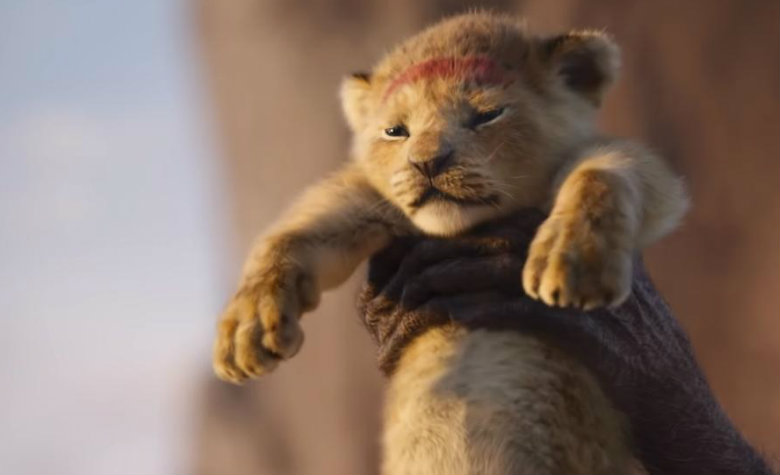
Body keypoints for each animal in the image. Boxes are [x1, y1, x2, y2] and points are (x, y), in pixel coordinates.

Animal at [212, 12, 688, 474]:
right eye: (395, 130)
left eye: (487, 115)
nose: (426, 163)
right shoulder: (370, 200)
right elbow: (292, 233)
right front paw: (245, 332)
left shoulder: (630, 168)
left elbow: (602, 175)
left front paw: (571, 262)